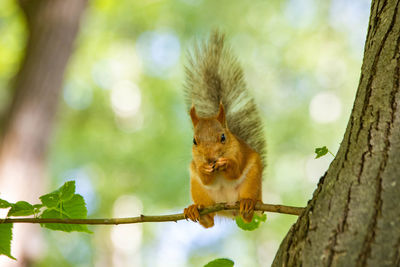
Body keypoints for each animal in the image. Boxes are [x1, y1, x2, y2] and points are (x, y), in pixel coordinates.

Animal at [184, 31, 266, 228]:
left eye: (223, 137)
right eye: (194, 141)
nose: (210, 158)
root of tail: (229, 210)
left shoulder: (238, 152)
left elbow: (235, 170)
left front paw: (225, 163)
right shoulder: (196, 163)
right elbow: (204, 176)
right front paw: (205, 168)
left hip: (252, 182)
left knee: (248, 214)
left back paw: (247, 204)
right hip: (199, 192)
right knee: (208, 221)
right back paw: (194, 210)